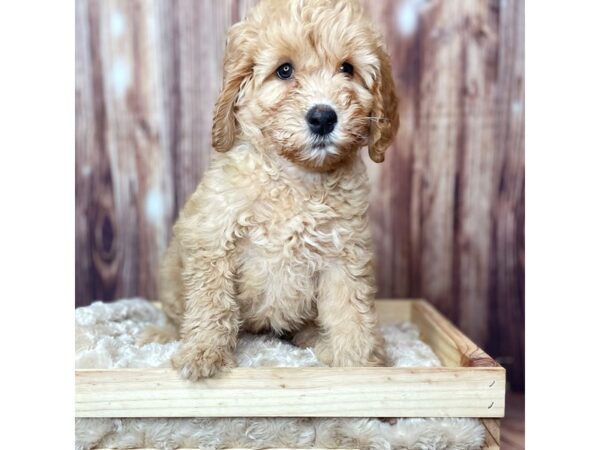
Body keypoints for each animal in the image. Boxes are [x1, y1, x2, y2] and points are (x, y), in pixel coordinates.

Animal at [149, 0, 398, 380]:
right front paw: (203, 352)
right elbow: (211, 301)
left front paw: (359, 362)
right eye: (284, 70)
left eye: (348, 69)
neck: (295, 178)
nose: (323, 117)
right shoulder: (213, 237)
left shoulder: (344, 253)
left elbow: (350, 312)